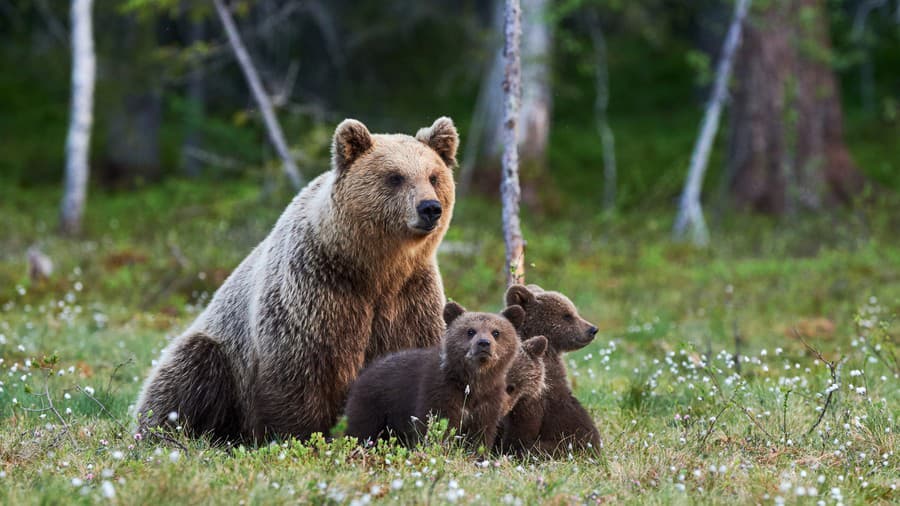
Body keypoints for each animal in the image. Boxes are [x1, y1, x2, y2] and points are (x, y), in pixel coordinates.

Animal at [137, 117, 460, 442]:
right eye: (395, 177)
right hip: (221, 355)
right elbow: (300, 374)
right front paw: (302, 436)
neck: (375, 270)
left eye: (433, 176)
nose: (429, 208)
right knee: (187, 372)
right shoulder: (315, 291)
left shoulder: (411, 297)